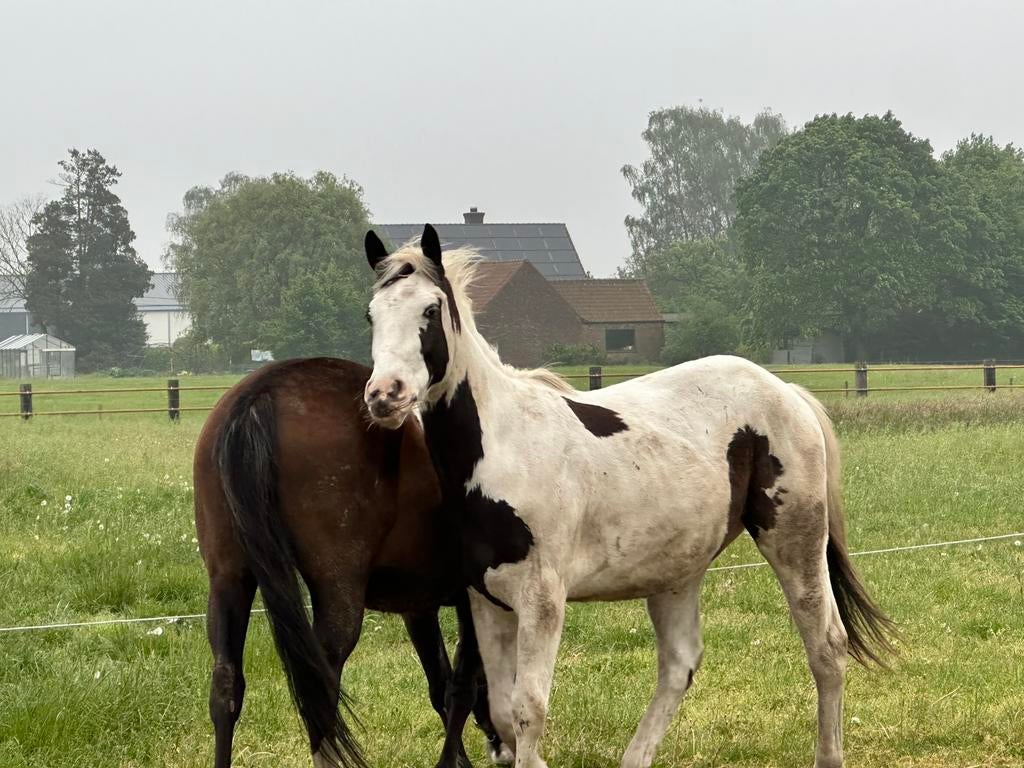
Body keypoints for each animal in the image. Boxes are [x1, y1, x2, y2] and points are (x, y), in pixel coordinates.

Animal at [194, 356, 509, 768]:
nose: (502, 749)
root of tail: (261, 392)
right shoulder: (474, 601)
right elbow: (462, 686)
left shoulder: (418, 607)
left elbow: (440, 683)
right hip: (338, 593)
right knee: (321, 685)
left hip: (228, 579)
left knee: (226, 684)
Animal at [359, 225, 896, 768]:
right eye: (371, 314)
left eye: (430, 309)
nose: (385, 395)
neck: (502, 447)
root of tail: (787, 392)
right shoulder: (486, 601)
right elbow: (503, 713)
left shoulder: (541, 599)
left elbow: (530, 709)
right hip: (677, 572)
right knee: (680, 663)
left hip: (795, 544)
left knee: (826, 646)